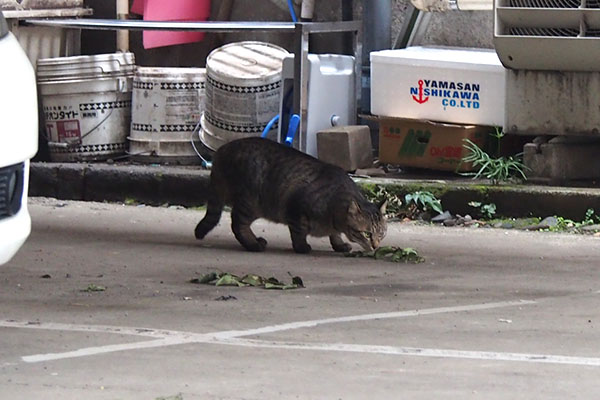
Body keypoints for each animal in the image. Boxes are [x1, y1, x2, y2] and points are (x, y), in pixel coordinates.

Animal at [195, 138, 386, 253]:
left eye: (382, 233)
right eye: (367, 233)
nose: (376, 246)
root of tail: (222, 149)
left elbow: (335, 235)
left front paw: (338, 244)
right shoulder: (296, 208)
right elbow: (298, 232)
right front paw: (302, 247)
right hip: (250, 202)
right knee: (238, 224)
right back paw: (253, 244)